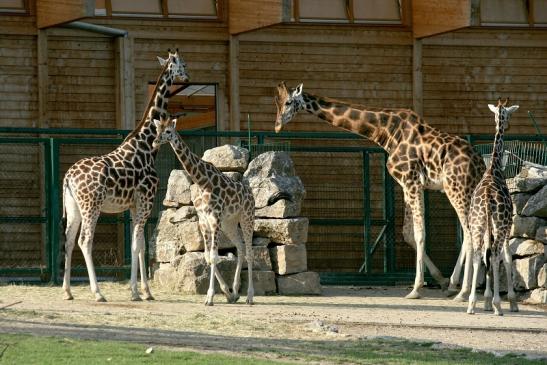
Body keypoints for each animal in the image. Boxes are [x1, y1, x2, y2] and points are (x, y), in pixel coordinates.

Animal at [61, 51, 189, 302]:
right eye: (183, 65)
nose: (187, 78)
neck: (146, 147)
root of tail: (68, 178)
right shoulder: (146, 201)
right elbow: (137, 246)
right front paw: (136, 292)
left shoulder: (134, 205)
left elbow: (140, 245)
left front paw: (146, 291)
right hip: (92, 205)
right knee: (84, 241)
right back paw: (98, 292)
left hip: (74, 207)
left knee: (69, 240)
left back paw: (68, 291)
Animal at [152, 116, 284, 304]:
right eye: (157, 130)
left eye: (168, 131)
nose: (155, 141)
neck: (202, 180)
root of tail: (250, 194)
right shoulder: (203, 220)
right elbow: (208, 257)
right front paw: (226, 292)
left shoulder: (215, 218)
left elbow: (214, 257)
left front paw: (210, 297)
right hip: (230, 223)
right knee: (240, 248)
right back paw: (235, 291)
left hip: (247, 217)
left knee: (250, 252)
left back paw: (249, 296)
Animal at [276, 82, 486, 298]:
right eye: (278, 102)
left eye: (288, 102)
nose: (277, 125)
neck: (387, 132)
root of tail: (479, 163)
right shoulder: (406, 184)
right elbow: (408, 233)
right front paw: (441, 280)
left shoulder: (411, 181)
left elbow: (420, 233)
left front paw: (416, 288)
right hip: (464, 190)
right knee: (473, 231)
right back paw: (457, 285)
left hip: (457, 189)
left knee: (470, 232)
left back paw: (464, 291)